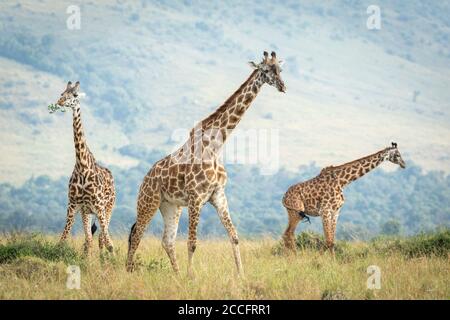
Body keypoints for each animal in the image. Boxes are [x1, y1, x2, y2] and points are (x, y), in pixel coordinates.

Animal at [126, 51, 284, 276]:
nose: (282, 86)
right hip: (148, 201)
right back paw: (128, 271)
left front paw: (241, 275)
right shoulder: (196, 197)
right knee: (137, 234)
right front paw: (191, 277)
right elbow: (192, 243)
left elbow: (234, 237)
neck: (215, 145)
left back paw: (176, 275)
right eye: (266, 70)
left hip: (171, 206)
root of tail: (144, 180)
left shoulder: (218, 195)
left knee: (167, 240)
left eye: (280, 69)